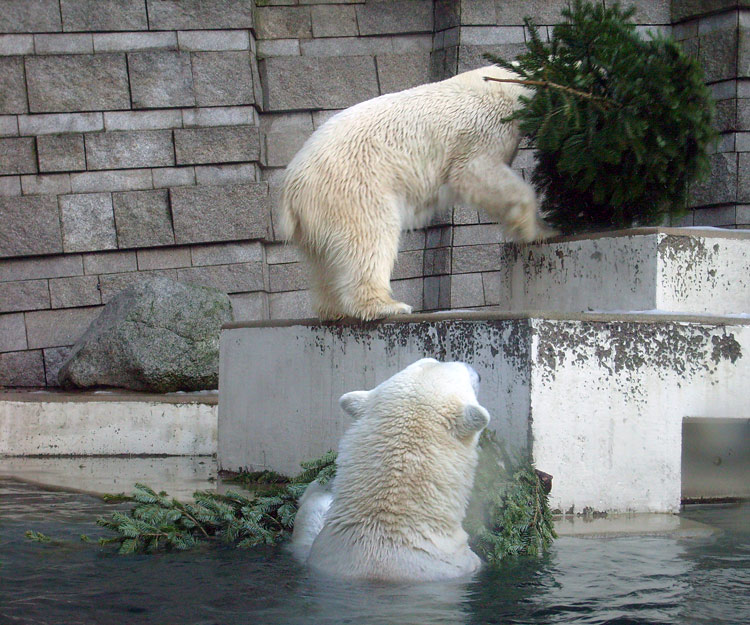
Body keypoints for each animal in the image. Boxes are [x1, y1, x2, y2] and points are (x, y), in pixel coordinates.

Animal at [282, 65, 552, 320]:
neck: (507, 85)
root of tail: (291, 190)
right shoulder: (486, 129)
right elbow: (475, 173)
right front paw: (537, 230)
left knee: (324, 263)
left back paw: (333, 309)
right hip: (354, 188)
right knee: (370, 239)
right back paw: (387, 306)